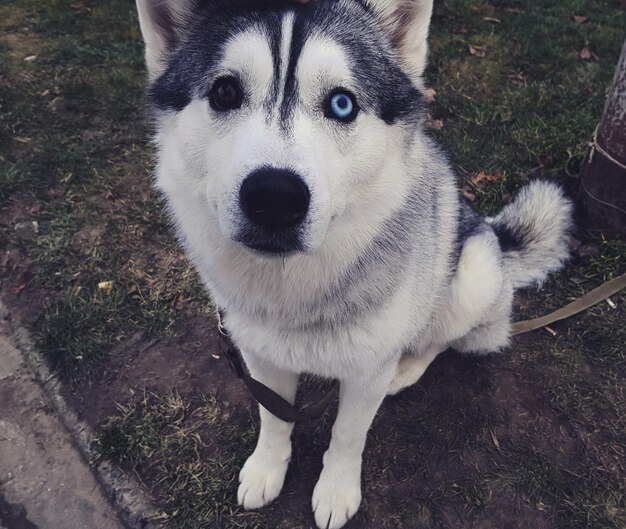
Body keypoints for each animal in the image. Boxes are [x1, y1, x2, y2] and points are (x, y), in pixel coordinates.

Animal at [136, 2, 572, 524]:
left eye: (341, 104)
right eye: (225, 92)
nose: (274, 198)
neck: (295, 295)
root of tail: (495, 235)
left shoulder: (366, 374)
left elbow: (348, 434)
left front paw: (336, 491)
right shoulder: (259, 355)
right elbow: (272, 418)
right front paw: (267, 470)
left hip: (473, 274)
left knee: (439, 338)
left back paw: (409, 365)